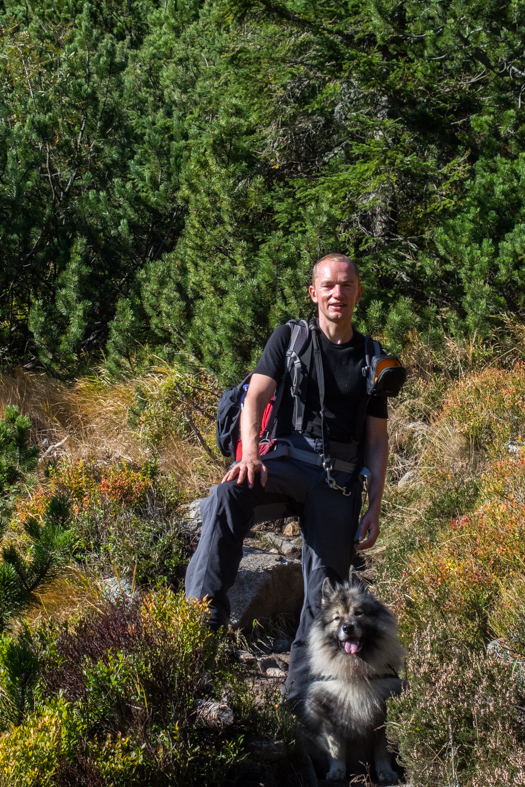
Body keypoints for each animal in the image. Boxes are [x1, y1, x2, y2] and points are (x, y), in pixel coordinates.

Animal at [300, 572, 404, 780]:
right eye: (336, 618)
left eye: (358, 613)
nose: (347, 627)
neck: (356, 675)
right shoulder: (329, 718)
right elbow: (336, 750)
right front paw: (336, 772)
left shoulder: (382, 717)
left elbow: (383, 749)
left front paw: (385, 772)